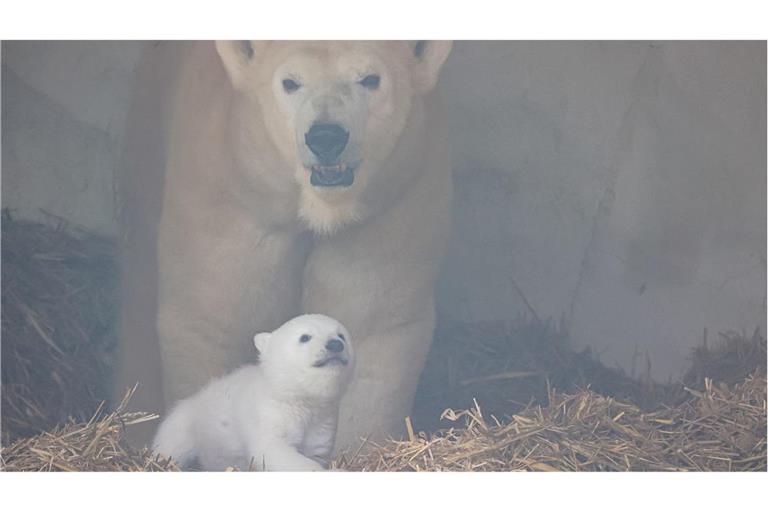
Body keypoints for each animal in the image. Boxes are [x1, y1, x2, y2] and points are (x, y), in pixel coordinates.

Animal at [116, 41, 452, 448]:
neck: (320, 211)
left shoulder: (388, 206)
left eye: (370, 79)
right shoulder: (229, 194)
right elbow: (213, 317)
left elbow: (369, 321)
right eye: (290, 82)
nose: (326, 137)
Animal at [151, 312, 354, 472]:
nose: (335, 344)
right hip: (185, 424)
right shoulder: (269, 414)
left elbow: (315, 451)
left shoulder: (322, 422)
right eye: (305, 337)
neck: (296, 398)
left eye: (341, 335)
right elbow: (272, 451)